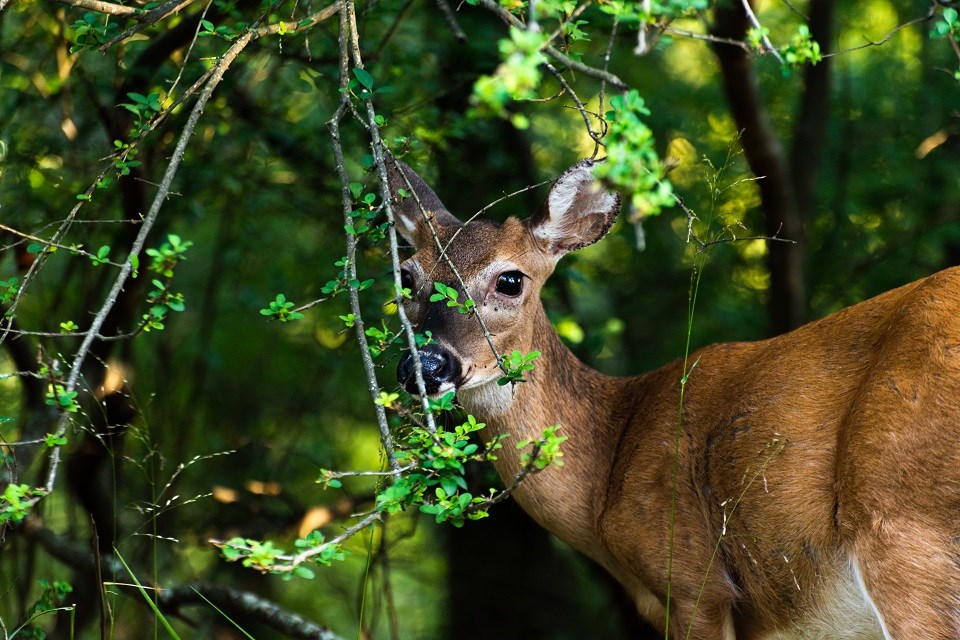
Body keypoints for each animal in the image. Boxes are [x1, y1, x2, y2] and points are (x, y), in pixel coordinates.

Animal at [384, 156, 960, 640]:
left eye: (510, 279)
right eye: (406, 278)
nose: (426, 365)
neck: (608, 467)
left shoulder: (691, 579)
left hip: (905, 523)